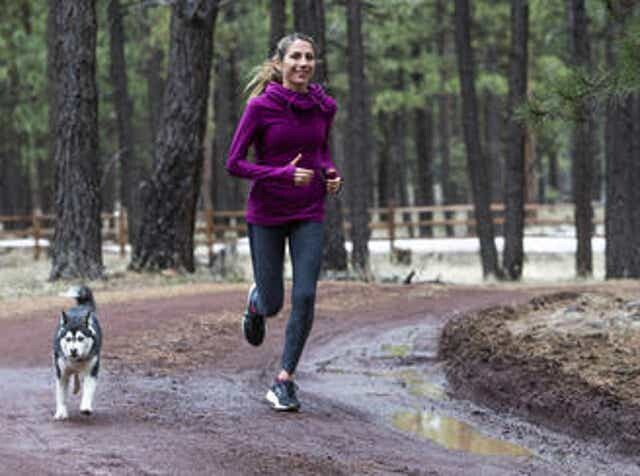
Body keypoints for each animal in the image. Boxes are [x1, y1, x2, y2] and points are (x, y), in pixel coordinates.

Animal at [53, 285, 102, 420]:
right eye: (68, 339)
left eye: (80, 338)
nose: (73, 350)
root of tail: (81, 307)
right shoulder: (62, 374)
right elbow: (61, 395)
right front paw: (61, 412)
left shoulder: (91, 371)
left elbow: (88, 390)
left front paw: (85, 407)